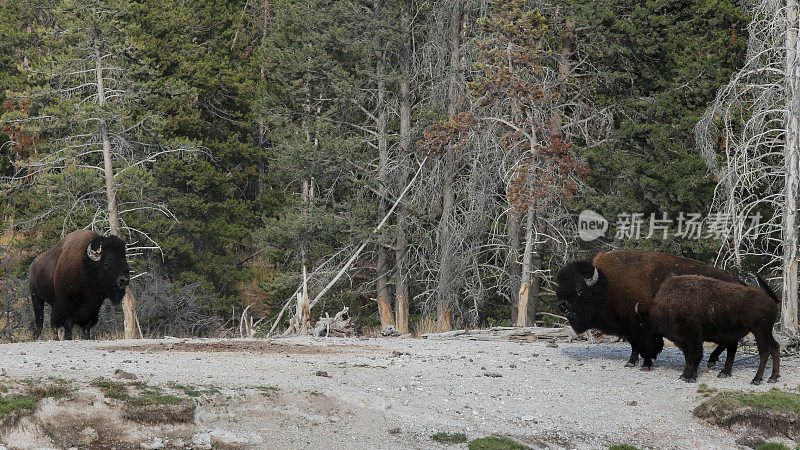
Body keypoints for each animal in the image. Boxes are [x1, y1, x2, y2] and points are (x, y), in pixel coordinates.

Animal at [556, 250, 744, 370]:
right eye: (560, 286)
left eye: (579, 288)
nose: (562, 305)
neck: (607, 284)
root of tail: (740, 282)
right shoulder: (628, 327)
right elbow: (634, 345)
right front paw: (631, 362)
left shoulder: (642, 325)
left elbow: (646, 344)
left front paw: (646, 364)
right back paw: (712, 362)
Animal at [636, 274, 780, 384]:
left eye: (642, 324)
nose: (643, 352)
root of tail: (770, 298)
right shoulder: (684, 340)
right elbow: (687, 356)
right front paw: (684, 375)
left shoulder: (692, 336)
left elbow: (694, 354)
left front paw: (690, 377)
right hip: (766, 332)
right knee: (775, 347)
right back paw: (772, 377)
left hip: (759, 331)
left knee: (764, 351)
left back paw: (756, 379)